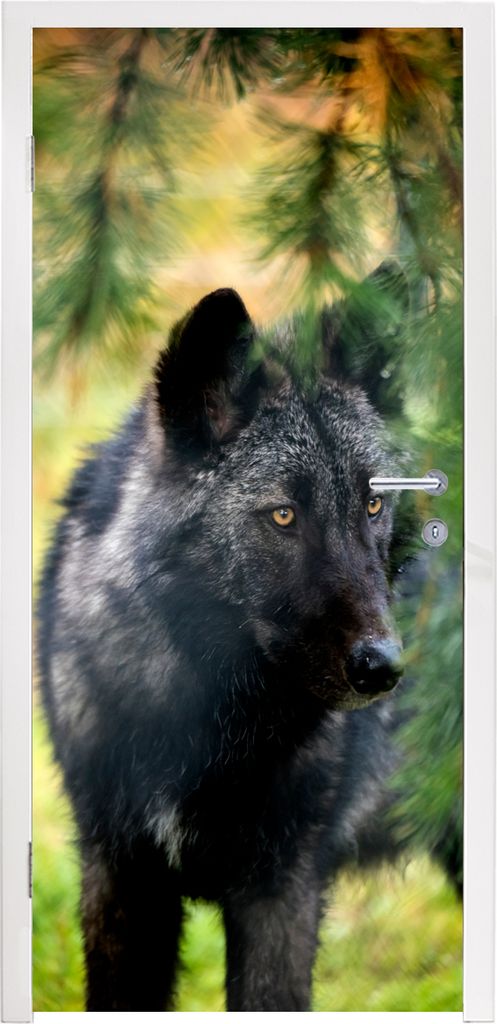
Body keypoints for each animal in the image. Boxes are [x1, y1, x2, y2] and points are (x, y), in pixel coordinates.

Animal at [38, 264, 416, 1011]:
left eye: (371, 503)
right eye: (283, 515)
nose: (383, 667)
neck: (201, 720)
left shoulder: (282, 891)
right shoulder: (121, 879)